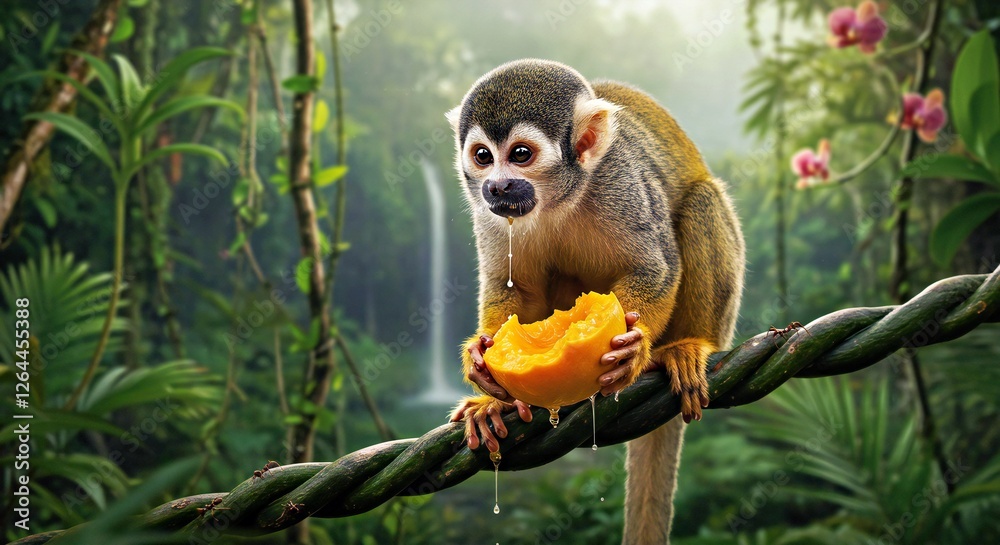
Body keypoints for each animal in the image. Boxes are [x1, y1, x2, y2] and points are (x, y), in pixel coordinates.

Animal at [445, 59, 745, 544]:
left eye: (520, 155)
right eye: (483, 157)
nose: (496, 187)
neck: (557, 201)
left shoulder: (622, 184)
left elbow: (655, 267)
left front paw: (632, 350)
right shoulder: (489, 216)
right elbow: (514, 289)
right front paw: (483, 373)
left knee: (703, 200)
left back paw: (687, 347)